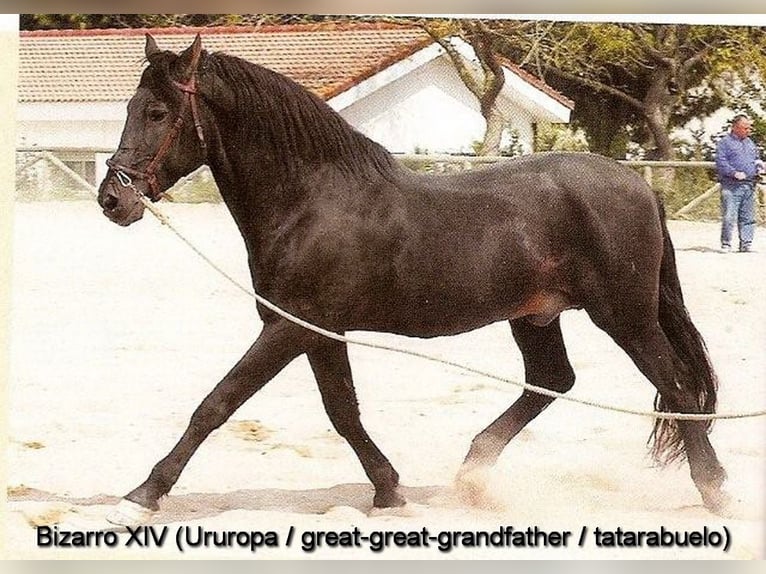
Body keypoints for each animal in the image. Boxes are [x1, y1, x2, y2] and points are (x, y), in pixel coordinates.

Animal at [97, 34, 730, 523]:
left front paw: (142, 495)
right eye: (131, 106)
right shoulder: (318, 332)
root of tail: (637, 184)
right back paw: (472, 475)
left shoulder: (288, 329)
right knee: (553, 380)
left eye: (157, 113)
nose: (112, 199)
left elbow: (216, 404)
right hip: (534, 315)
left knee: (677, 390)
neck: (311, 199)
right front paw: (388, 490)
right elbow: (343, 413)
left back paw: (715, 490)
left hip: (624, 316)